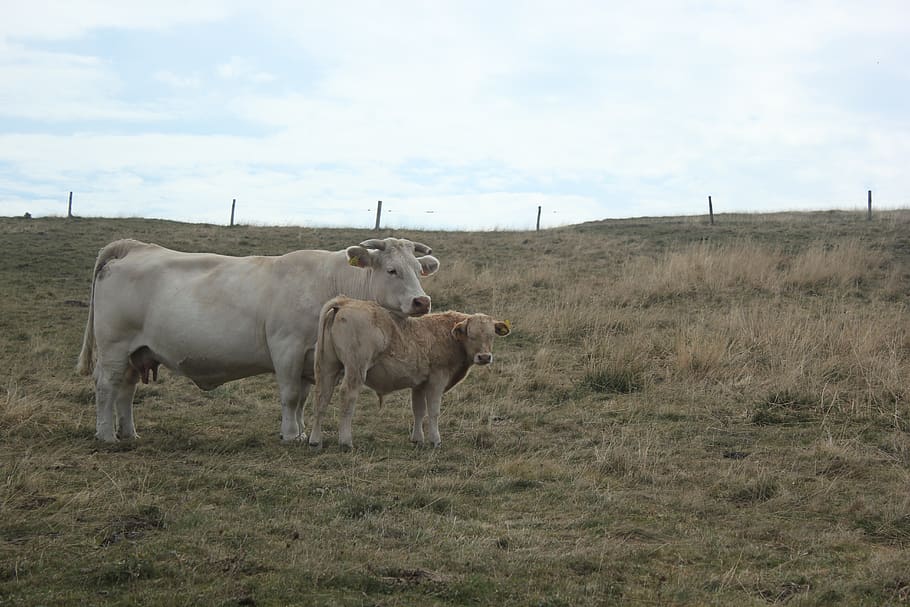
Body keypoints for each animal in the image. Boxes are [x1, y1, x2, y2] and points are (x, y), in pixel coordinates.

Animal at [76, 237, 440, 443]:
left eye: (419, 269)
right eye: (392, 270)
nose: (422, 302)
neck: (329, 280)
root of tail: (135, 248)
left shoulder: (309, 358)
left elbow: (302, 399)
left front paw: (301, 431)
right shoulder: (287, 349)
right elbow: (290, 397)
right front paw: (290, 435)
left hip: (136, 352)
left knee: (126, 389)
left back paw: (129, 433)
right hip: (114, 347)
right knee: (107, 387)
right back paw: (106, 435)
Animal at [308, 295, 511, 449]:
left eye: (491, 335)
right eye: (471, 335)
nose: (484, 357)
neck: (447, 336)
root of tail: (344, 302)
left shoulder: (420, 384)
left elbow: (418, 410)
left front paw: (417, 439)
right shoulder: (437, 380)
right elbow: (433, 411)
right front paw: (435, 440)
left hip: (327, 367)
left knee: (322, 398)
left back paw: (315, 440)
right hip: (355, 369)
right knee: (347, 397)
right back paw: (345, 441)